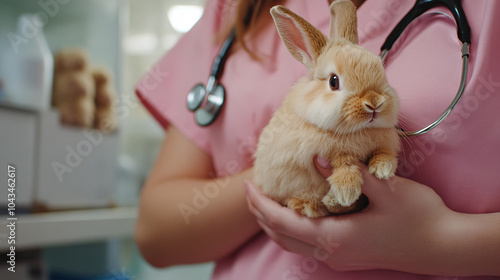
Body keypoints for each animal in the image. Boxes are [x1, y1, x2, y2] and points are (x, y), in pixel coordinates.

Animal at [254, 0, 402, 218]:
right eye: (334, 81)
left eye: (383, 75)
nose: (374, 103)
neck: (357, 131)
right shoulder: (324, 153)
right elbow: (344, 160)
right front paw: (346, 190)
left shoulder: (384, 142)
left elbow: (384, 152)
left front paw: (383, 169)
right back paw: (313, 204)